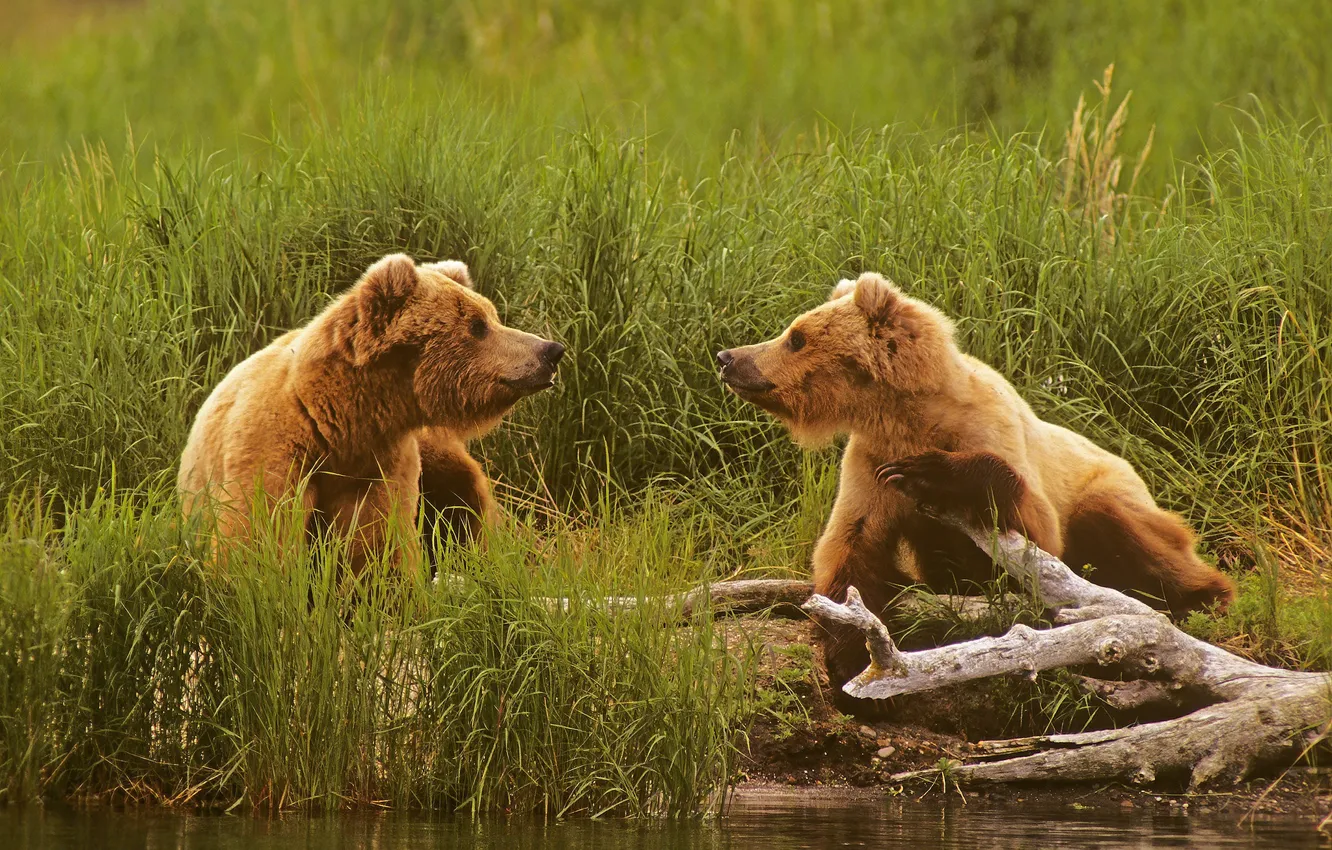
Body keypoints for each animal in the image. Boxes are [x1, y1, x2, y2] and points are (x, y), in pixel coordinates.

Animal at [178, 253, 564, 574]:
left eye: (492, 316)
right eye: (477, 325)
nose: (551, 350)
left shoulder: (379, 467)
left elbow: (377, 548)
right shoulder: (274, 452)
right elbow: (258, 536)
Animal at [716, 272, 1235, 701]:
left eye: (796, 337)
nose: (727, 357)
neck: (907, 416)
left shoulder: (987, 428)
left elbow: (1034, 527)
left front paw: (931, 473)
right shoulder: (868, 463)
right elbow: (852, 545)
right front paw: (849, 658)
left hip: (1109, 486)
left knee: (1127, 528)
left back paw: (1204, 598)